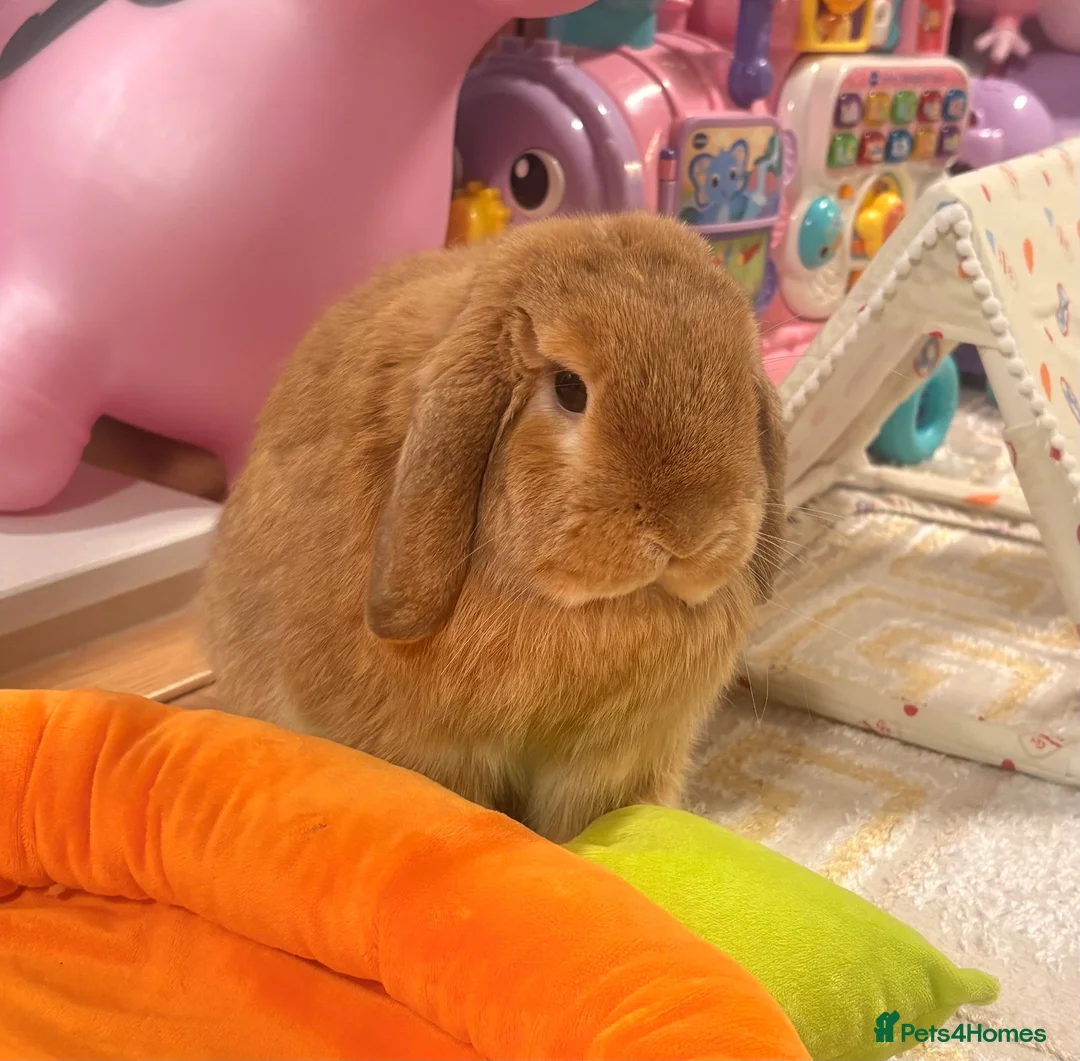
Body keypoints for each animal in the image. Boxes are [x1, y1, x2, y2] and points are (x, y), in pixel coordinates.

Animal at [200, 211, 787, 844]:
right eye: (569, 388)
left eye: (741, 387)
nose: (688, 531)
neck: (593, 613)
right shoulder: (438, 753)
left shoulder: (612, 764)